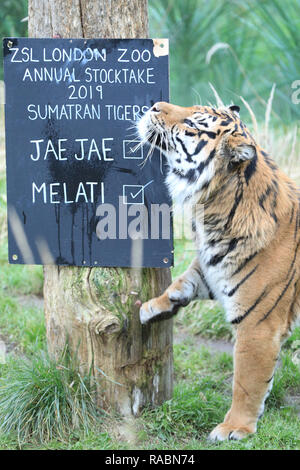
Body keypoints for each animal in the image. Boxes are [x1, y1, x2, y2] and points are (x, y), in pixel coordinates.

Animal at [137, 101, 300, 442]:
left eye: (192, 123)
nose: (154, 106)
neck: (212, 207)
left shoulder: (258, 324)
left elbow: (247, 383)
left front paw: (235, 427)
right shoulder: (214, 267)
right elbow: (186, 280)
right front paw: (154, 307)